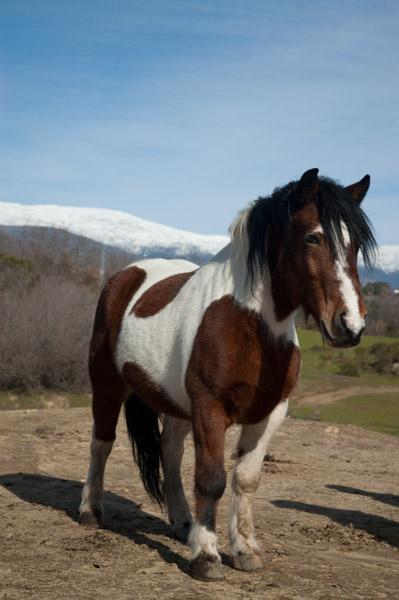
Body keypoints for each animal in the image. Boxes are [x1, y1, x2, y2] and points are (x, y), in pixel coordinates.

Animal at [79, 169, 376, 580]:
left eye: (356, 244)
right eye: (312, 237)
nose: (350, 325)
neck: (248, 322)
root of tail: (126, 274)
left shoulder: (271, 413)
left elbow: (246, 480)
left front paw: (244, 550)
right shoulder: (209, 409)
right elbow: (212, 480)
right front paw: (206, 556)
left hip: (175, 403)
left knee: (170, 453)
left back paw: (183, 521)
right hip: (107, 384)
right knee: (102, 443)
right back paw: (91, 510)